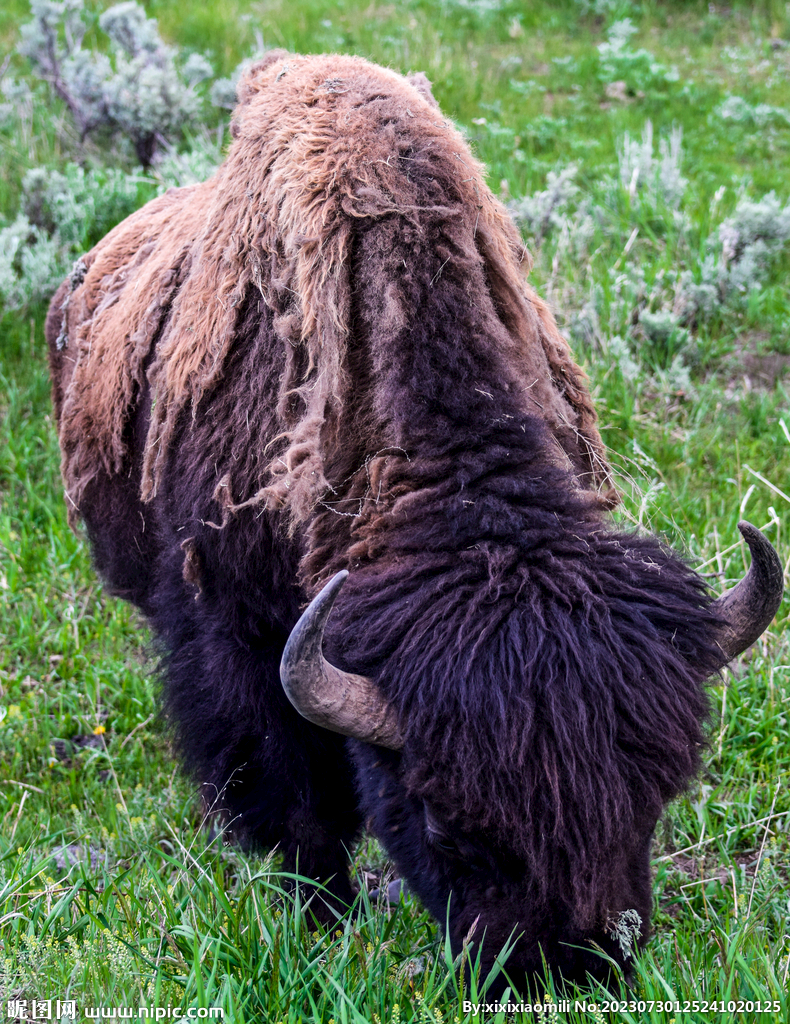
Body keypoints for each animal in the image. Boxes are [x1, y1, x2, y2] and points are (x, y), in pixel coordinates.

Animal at [46, 54, 782, 991]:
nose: (565, 967)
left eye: (656, 791)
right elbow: (292, 797)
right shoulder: (236, 636)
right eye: (441, 819)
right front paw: (323, 919)